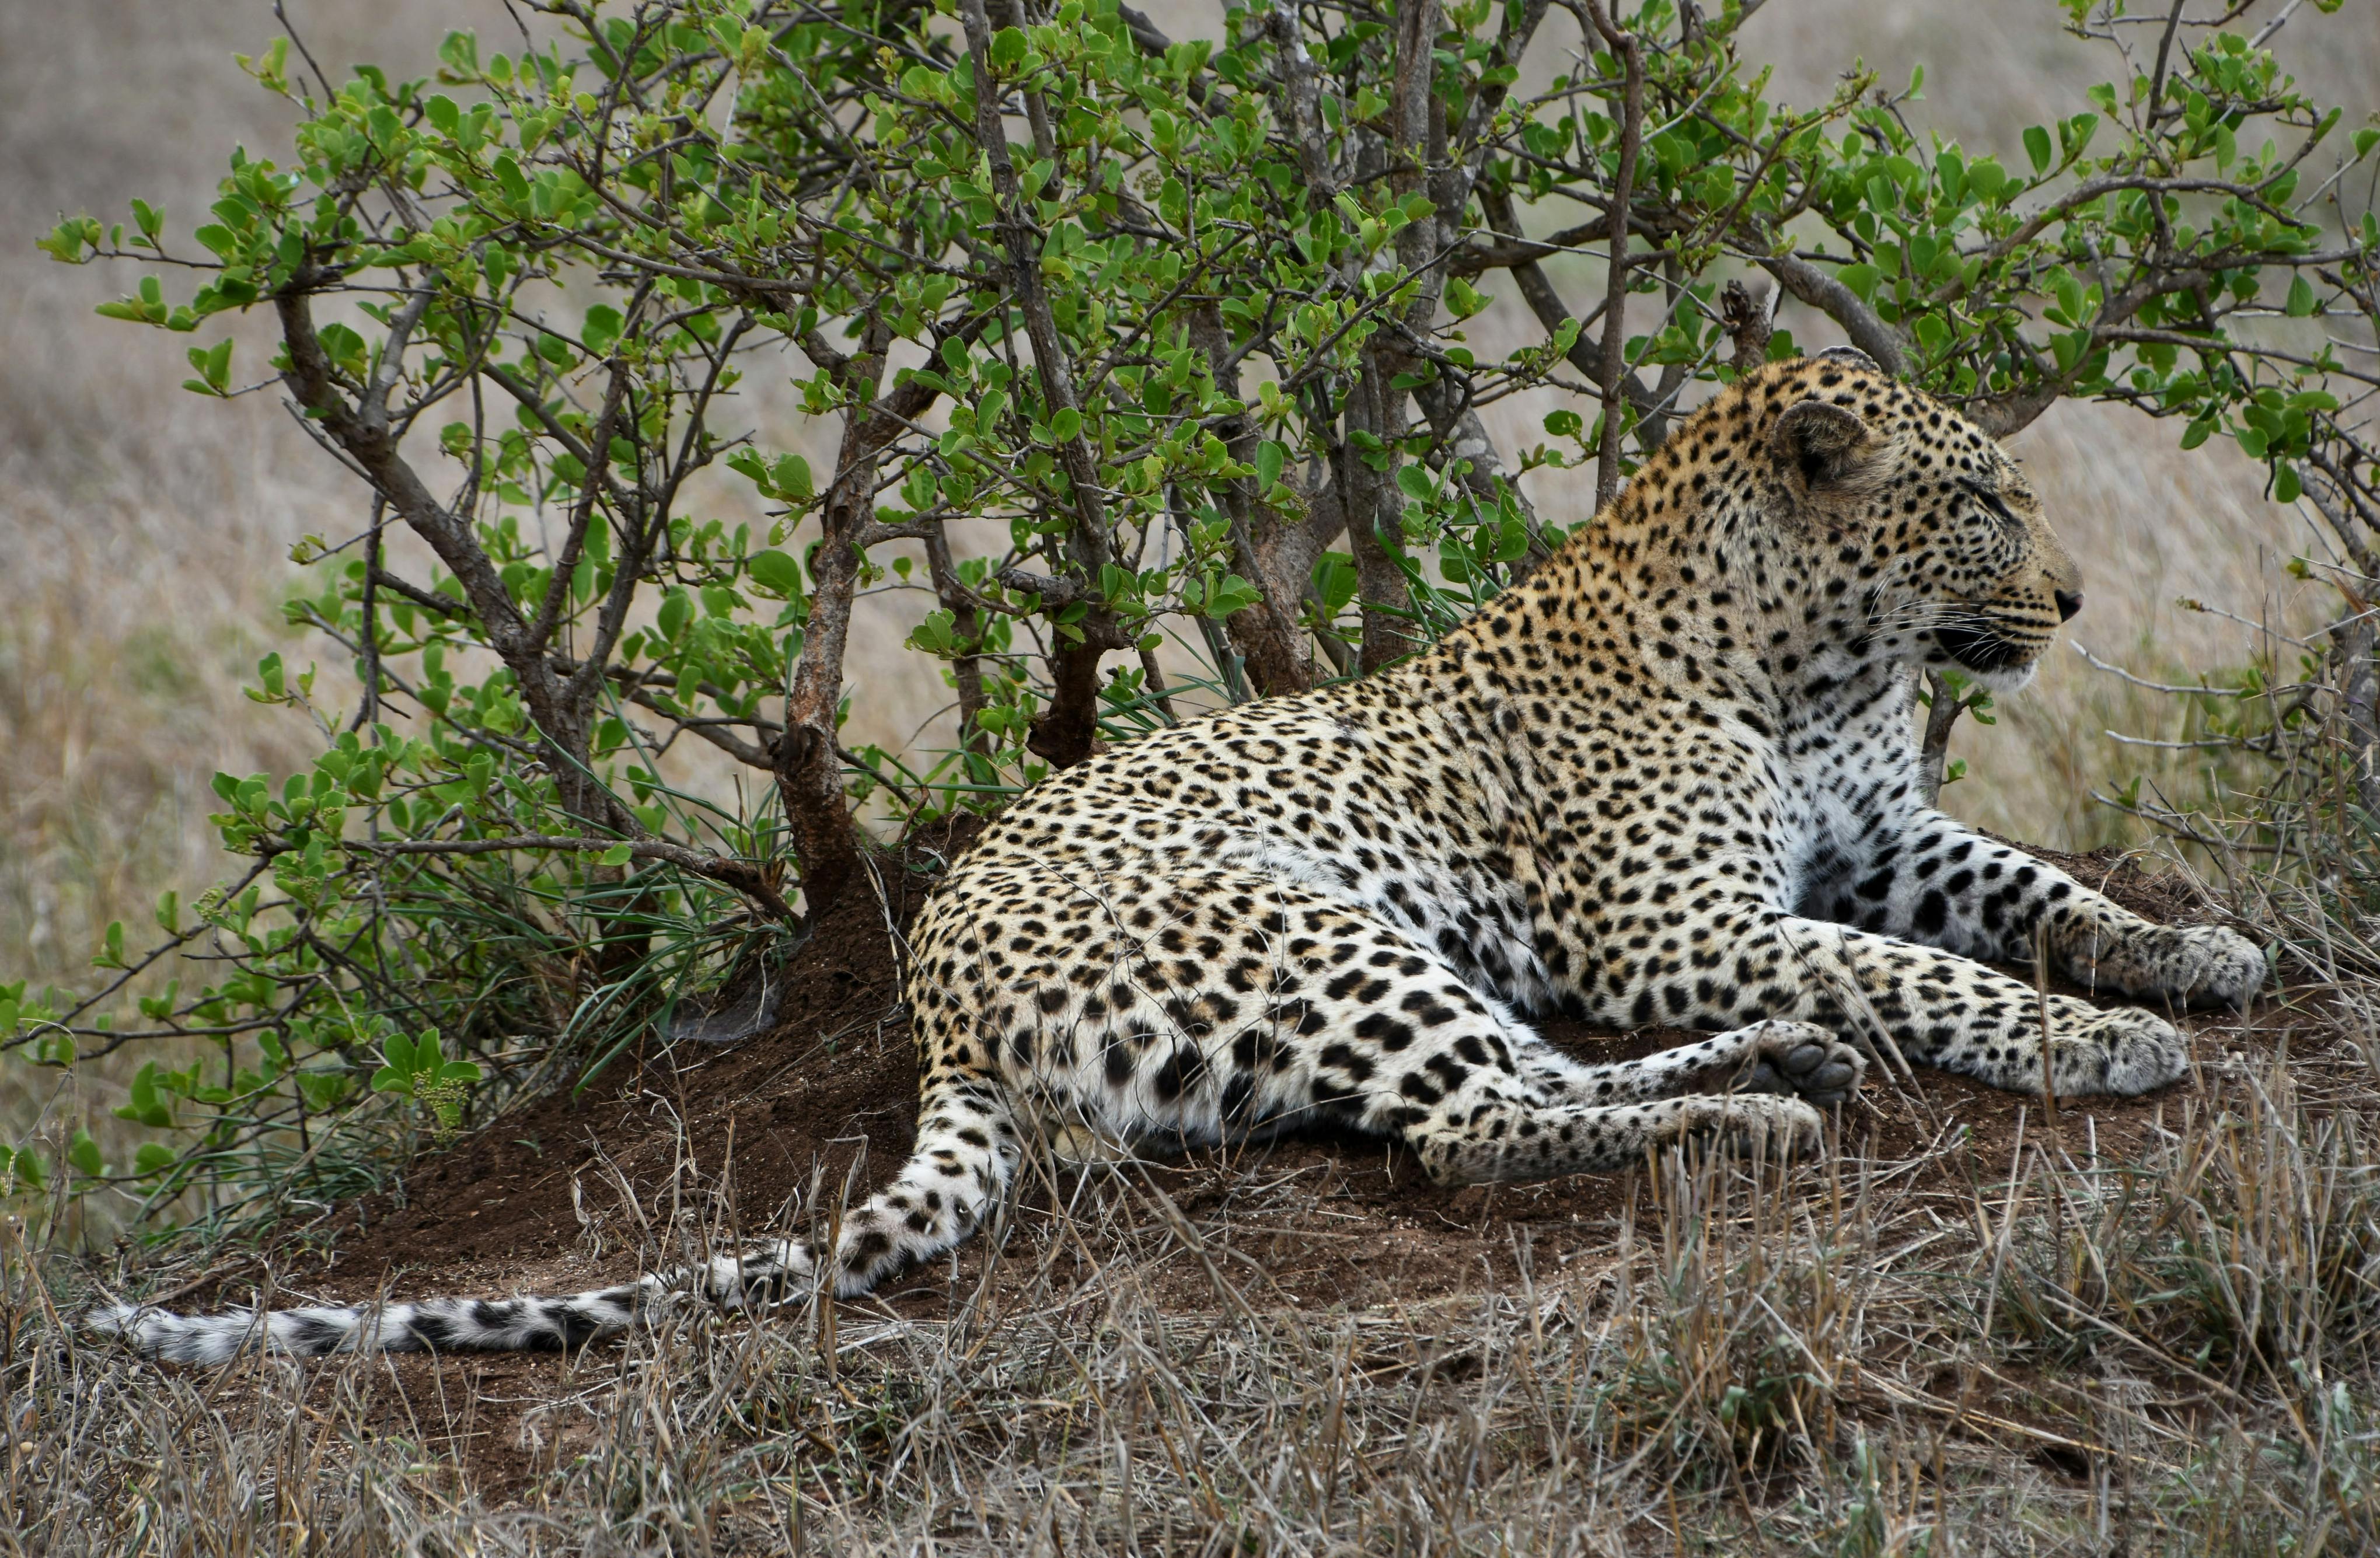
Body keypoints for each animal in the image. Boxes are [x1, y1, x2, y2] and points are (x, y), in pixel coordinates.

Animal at [98, 351, 2264, 1363]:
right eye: (1983, 503)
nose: (2073, 600)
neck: (1816, 662)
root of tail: (936, 1001)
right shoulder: (1684, 921)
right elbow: (1925, 969)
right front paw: (2096, 1047)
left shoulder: (1881, 838)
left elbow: (2029, 897)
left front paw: (2195, 957)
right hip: (1315, 927)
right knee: (1475, 1127)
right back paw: (1760, 1116)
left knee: (1519, 1085)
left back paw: (1774, 1076)